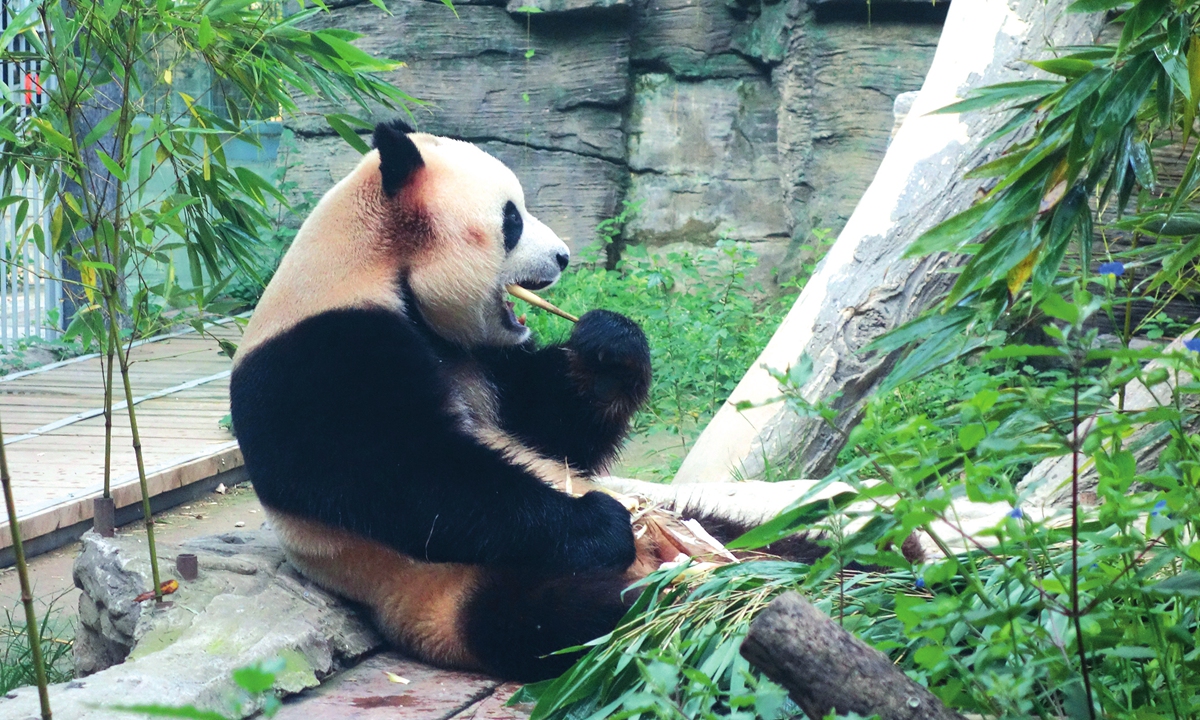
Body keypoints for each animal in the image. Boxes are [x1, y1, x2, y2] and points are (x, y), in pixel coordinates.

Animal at [230, 119, 658, 682]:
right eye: (512, 219)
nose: (564, 256)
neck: (376, 265)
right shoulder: (318, 357)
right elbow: (412, 478)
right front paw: (600, 521)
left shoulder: (475, 352)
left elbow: (550, 430)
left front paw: (610, 347)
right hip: (461, 588)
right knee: (579, 615)